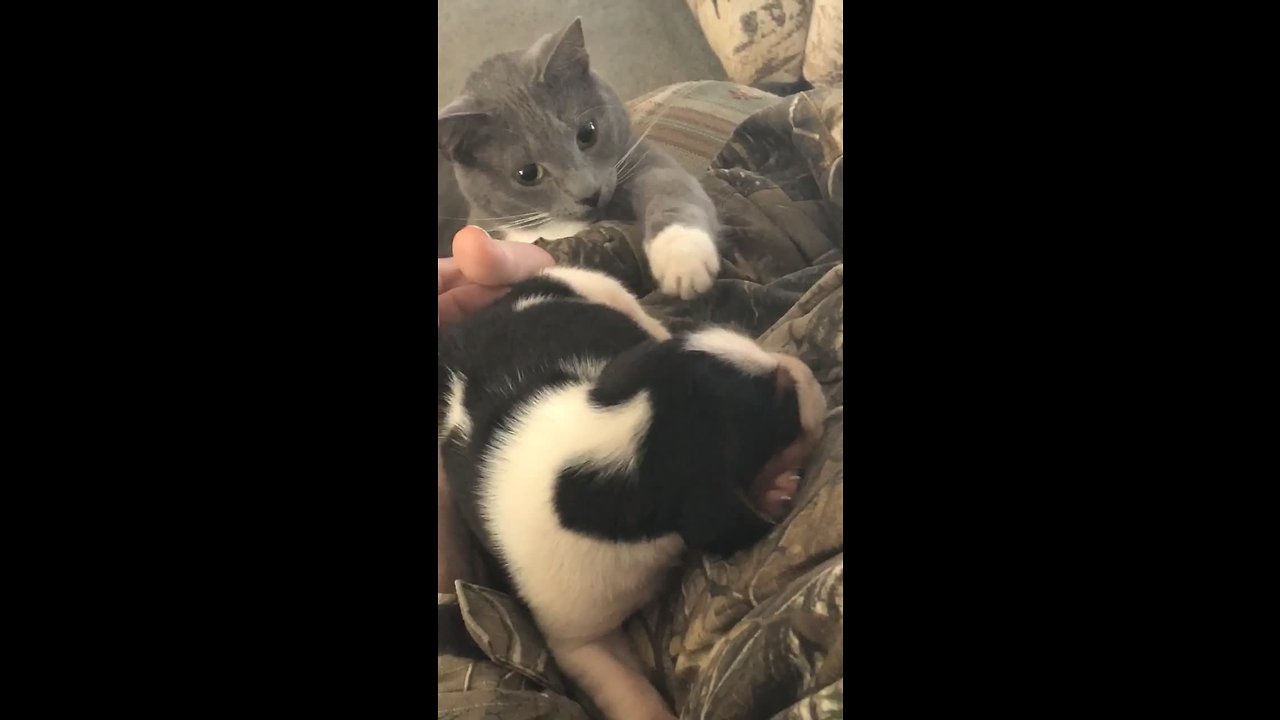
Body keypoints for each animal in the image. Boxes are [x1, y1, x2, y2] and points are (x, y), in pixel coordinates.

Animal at [437, 18, 721, 297]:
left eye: (587, 133)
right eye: (528, 173)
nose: (589, 194)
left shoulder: (640, 158)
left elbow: (669, 184)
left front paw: (682, 256)